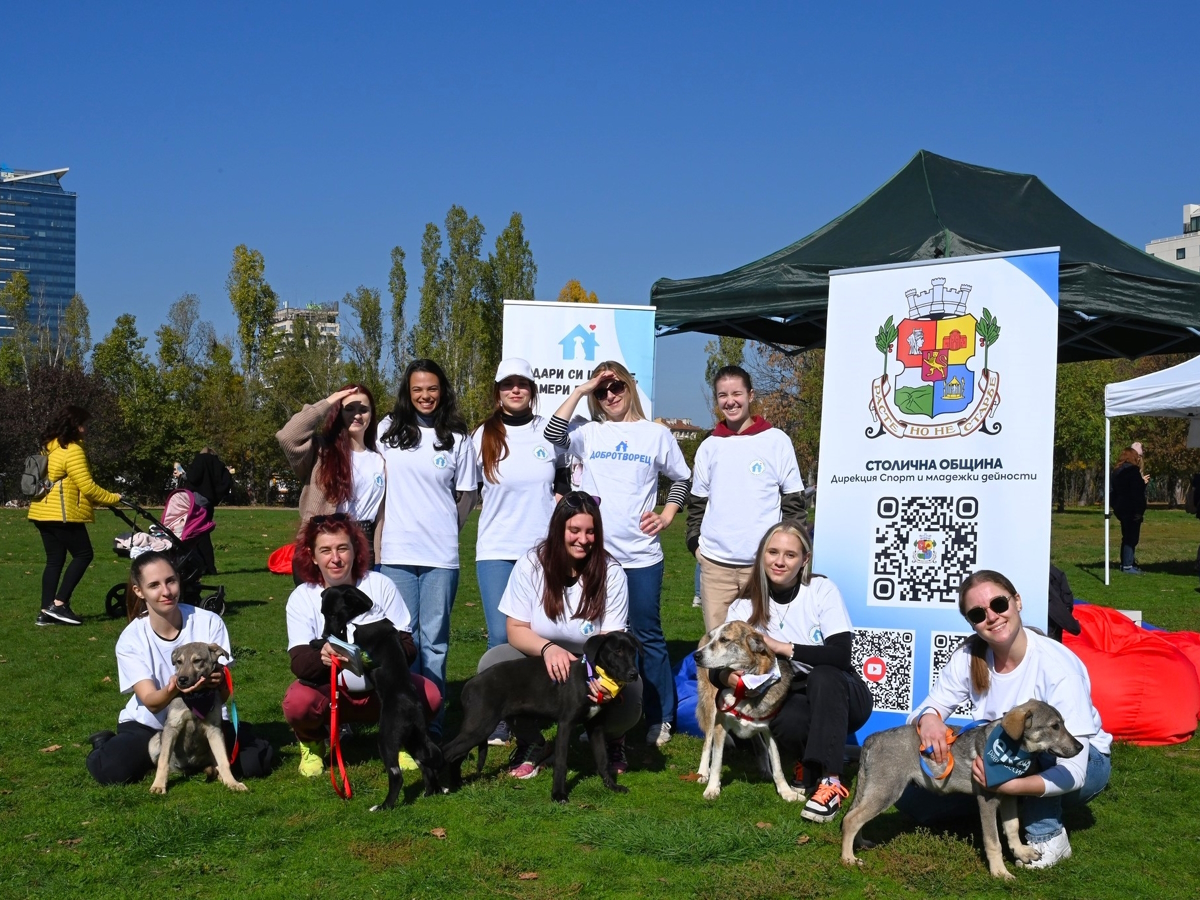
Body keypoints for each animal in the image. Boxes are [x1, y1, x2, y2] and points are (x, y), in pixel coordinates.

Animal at [148, 641, 246, 795]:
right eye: (179, 662)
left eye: (197, 660)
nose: (181, 680)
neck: (197, 697)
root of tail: (192, 768)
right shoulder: (172, 726)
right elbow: (163, 761)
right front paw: (158, 785)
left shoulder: (214, 730)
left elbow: (224, 761)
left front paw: (232, 783)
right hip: (154, 741)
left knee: (216, 764)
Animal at [440, 631, 642, 803]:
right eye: (617, 651)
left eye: (633, 652)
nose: (634, 674)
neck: (590, 676)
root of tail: (470, 685)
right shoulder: (566, 723)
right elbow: (561, 762)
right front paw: (558, 795)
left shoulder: (596, 727)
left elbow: (603, 760)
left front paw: (612, 786)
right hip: (480, 726)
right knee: (446, 751)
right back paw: (442, 787)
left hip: (477, 727)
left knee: (457, 755)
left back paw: (457, 784)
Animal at [694, 620, 801, 802]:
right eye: (712, 637)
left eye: (724, 640)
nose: (696, 656)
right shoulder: (720, 724)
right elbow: (716, 761)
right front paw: (713, 788)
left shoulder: (770, 729)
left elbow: (777, 764)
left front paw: (786, 792)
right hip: (711, 709)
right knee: (707, 743)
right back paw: (702, 773)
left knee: (759, 744)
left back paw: (765, 770)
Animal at [841, 699, 1084, 880]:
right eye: (1054, 726)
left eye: (1063, 723)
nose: (1081, 747)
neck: (1013, 752)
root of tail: (873, 738)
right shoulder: (987, 801)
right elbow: (993, 841)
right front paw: (999, 872)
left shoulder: (1008, 797)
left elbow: (1012, 827)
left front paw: (1020, 851)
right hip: (886, 791)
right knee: (851, 819)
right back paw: (848, 859)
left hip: (874, 790)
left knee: (855, 818)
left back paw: (859, 845)